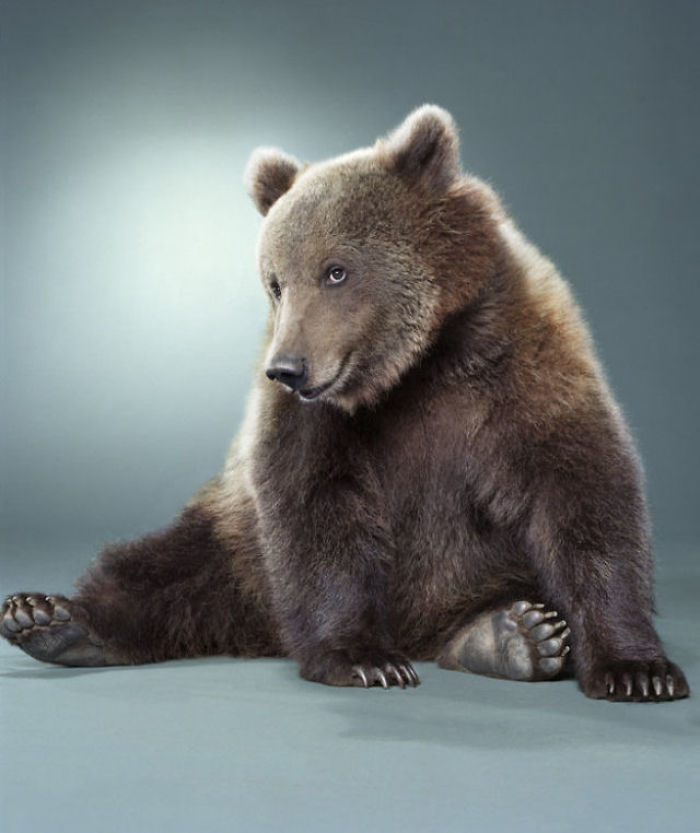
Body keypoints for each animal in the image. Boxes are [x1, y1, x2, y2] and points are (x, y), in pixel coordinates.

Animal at [0, 105, 689, 702]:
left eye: (336, 270)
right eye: (275, 281)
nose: (288, 368)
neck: (415, 366)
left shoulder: (518, 361)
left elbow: (579, 489)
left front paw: (637, 668)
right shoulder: (311, 420)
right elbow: (314, 504)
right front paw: (364, 659)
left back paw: (515, 633)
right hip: (237, 544)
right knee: (168, 566)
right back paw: (52, 620)